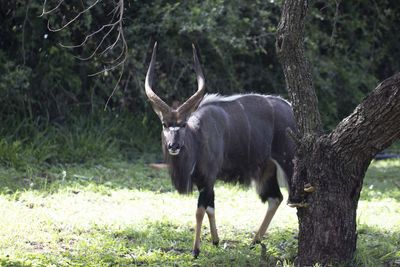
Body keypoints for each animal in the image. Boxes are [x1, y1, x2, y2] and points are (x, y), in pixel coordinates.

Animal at [145, 43, 296, 258]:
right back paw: (254, 241)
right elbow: (211, 207)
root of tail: (291, 109)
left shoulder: (208, 178)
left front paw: (196, 250)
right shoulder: (204, 182)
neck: (198, 135)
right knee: (276, 198)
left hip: (289, 163)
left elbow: (200, 210)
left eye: (182, 124)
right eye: (165, 124)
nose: (173, 146)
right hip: (267, 169)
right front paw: (215, 241)